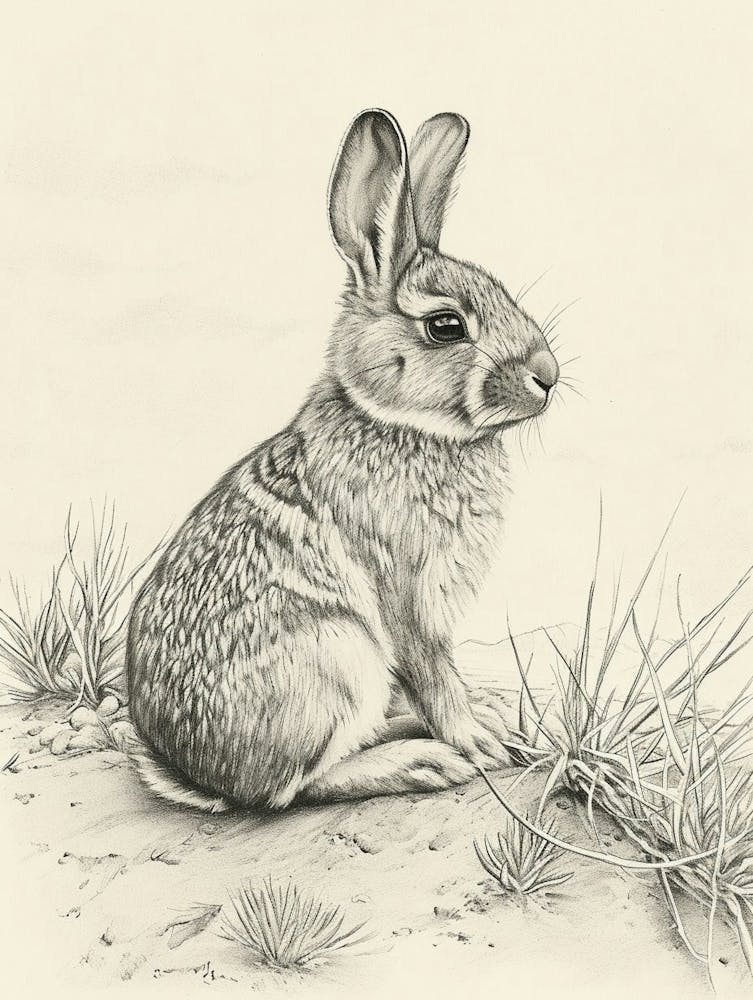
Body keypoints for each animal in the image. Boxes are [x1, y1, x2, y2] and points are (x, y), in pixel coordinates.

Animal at [126, 108, 560, 812]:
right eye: (446, 325)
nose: (548, 375)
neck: (399, 423)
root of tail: (200, 774)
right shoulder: (408, 593)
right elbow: (436, 675)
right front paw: (479, 743)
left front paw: (487, 723)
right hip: (338, 657)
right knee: (295, 788)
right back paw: (422, 763)